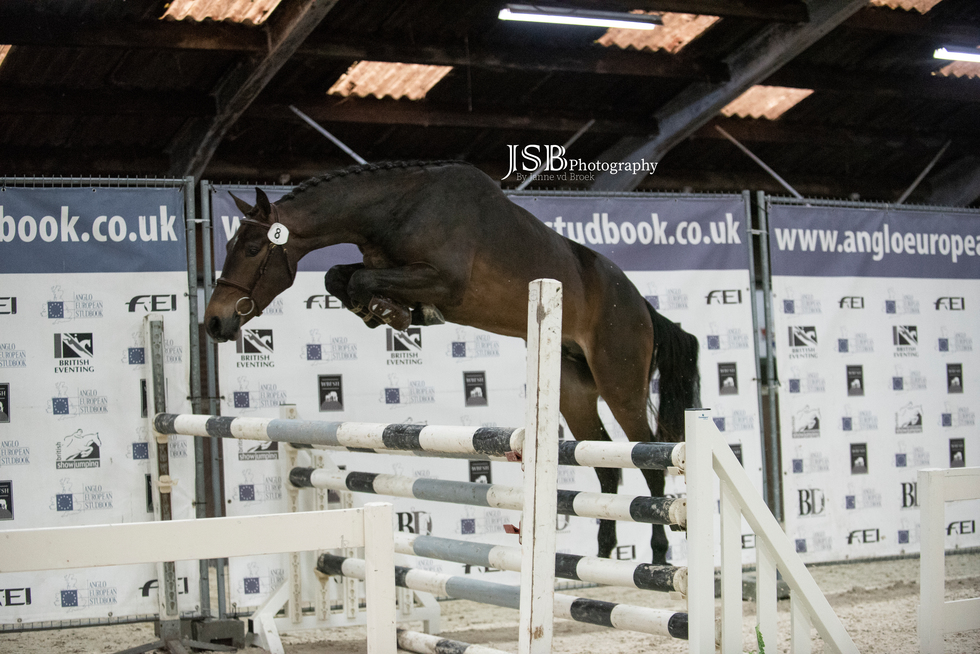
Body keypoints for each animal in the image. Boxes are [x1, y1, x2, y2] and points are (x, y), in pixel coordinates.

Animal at [204, 160, 701, 564]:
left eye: (252, 249)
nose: (214, 322)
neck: (398, 209)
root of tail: (643, 306)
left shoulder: (445, 281)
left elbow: (360, 279)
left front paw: (390, 311)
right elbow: (339, 276)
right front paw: (384, 311)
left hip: (620, 384)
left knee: (649, 460)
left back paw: (658, 553)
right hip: (574, 391)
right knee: (605, 466)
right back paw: (601, 553)